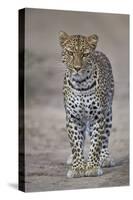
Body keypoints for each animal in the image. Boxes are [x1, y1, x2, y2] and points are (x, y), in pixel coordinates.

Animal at [58, 30, 115, 177]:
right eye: (70, 53)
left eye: (85, 54)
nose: (77, 68)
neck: (81, 84)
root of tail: (98, 50)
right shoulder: (73, 117)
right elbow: (76, 143)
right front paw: (77, 167)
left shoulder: (98, 116)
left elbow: (96, 143)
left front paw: (93, 167)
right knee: (81, 138)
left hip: (108, 113)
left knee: (105, 139)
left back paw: (104, 158)